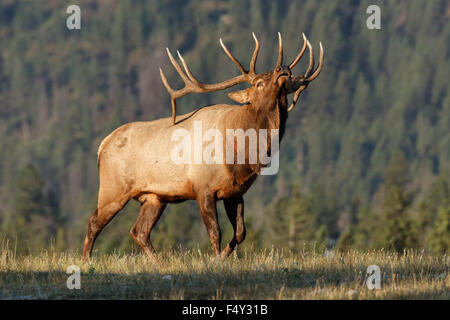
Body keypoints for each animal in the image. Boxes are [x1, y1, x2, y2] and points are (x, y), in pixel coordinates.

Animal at [82, 32, 322, 260]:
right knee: (94, 221)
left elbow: (240, 233)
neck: (240, 153)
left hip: (154, 197)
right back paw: (86, 260)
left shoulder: (235, 191)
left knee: (139, 231)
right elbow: (215, 232)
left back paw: (159, 262)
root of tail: (102, 146)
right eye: (259, 83)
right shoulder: (203, 187)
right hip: (113, 188)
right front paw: (214, 260)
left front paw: (223, 257)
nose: (283, 68)